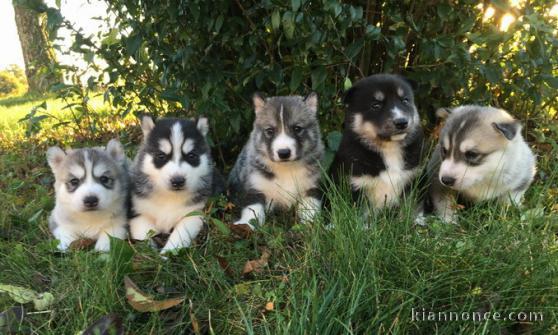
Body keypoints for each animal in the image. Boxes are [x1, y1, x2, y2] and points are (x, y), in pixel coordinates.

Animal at [130, 115, 220, 252]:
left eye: (191, 156)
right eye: (161, 156)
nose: (178, 181)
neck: (170, 197)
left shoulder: (194, 214)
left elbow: (179, 236)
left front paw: (166, 253)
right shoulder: (137, 213)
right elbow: (144, 234)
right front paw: (150, 249)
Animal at [229, 93, 326, 230]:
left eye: (297, 128)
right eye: (270, 131)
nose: (284, 153)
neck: (286, 168)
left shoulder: (311, 187)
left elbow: (310, 209)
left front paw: (311, 225)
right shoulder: (255, 187)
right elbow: (252, 209)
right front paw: (245, 225)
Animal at [330, 74, 426, 210]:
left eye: (405, 100)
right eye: (376, 105)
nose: (401, 122)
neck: (389, 148)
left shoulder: (413, 179)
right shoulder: (356, 184)